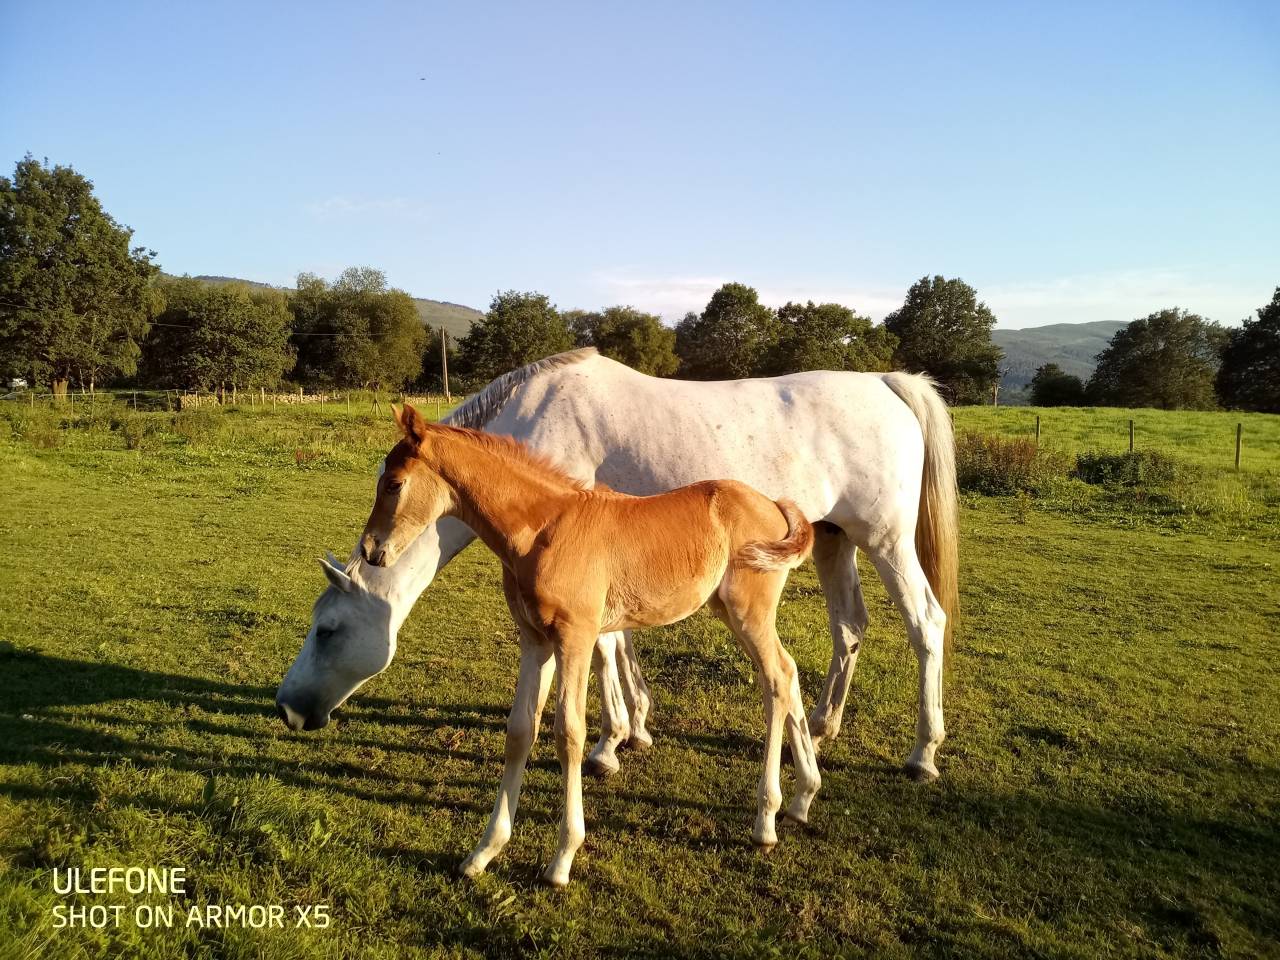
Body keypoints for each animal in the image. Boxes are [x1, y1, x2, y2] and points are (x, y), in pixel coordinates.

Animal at [277, 347, 957, 781]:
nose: (288, 709)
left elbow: (603, 652)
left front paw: (607, 743)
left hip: (887, 541)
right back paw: (818, 728)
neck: (533, 422)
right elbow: (619, 643)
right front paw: (635, 726)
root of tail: (886, 382)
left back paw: (923, 753)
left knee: (926, 624)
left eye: (327, 630)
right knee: (849, 627)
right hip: (836, 539)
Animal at [358, 404, 821, 886]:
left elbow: (570, 733)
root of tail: (774, 505)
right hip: (733, 612)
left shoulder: (575, 638)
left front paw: (562, 858)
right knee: (788, 672)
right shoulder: (536, 641)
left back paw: (766, 821)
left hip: (749, 612)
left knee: (776, 679)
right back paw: (802, 799)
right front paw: (484, 851)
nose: (372, 550)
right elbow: (520, 731)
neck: (543, 529)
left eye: (394, 483)